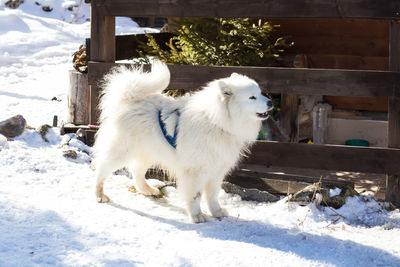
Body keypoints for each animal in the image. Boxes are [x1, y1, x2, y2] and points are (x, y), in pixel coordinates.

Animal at [94, 61, 272, 224]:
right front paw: (197, 216)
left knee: (137, 171)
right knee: (102, 169)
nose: (271, 102)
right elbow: (195, 195)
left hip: (149, 152)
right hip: (121, 152)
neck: (216, 121)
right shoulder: (195, 171)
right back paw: (100, 195)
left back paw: (148, 190)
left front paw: (217, 212)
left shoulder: (217, 169)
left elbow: (213, 195)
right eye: (252, 97)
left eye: (260, 93)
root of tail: (128, 99)